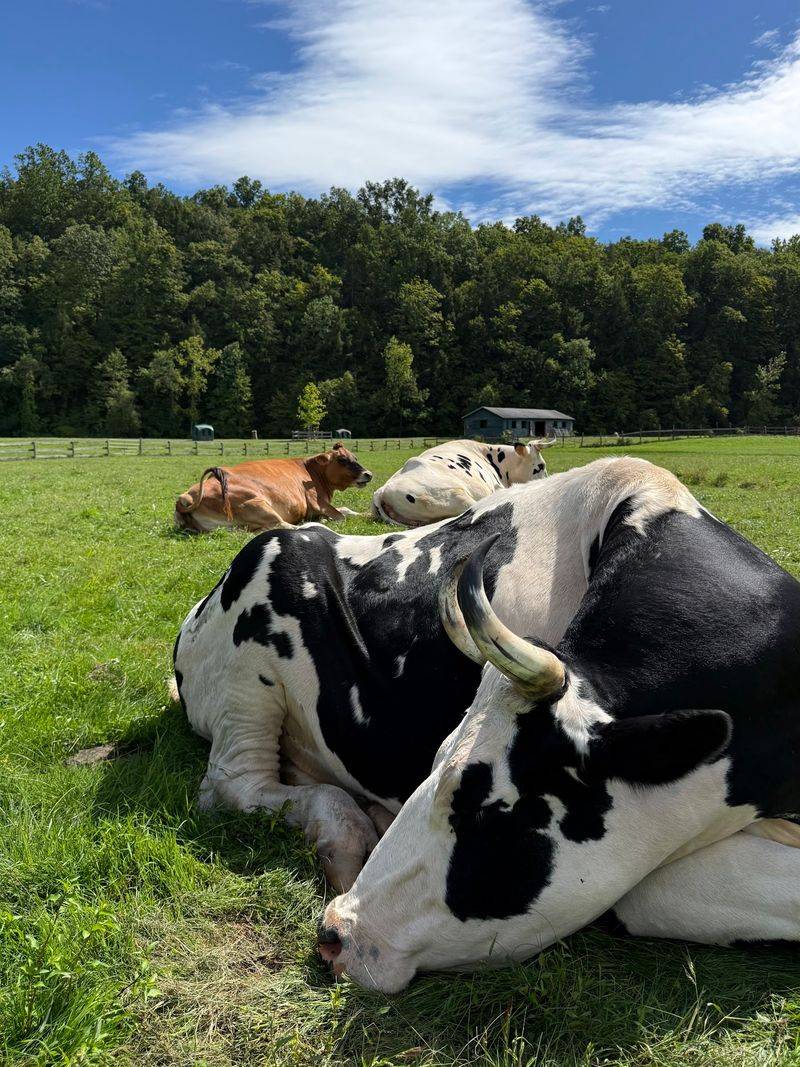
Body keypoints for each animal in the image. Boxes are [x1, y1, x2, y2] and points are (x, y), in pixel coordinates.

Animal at [173, 442, 373, 533]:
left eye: (355, 457)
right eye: (342, 459)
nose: (369, 474)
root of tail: (187, 497)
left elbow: (346, 510)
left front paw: (367, 514)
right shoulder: (317, 502)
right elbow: (340, 516)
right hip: (256, 503)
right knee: (285, 525)